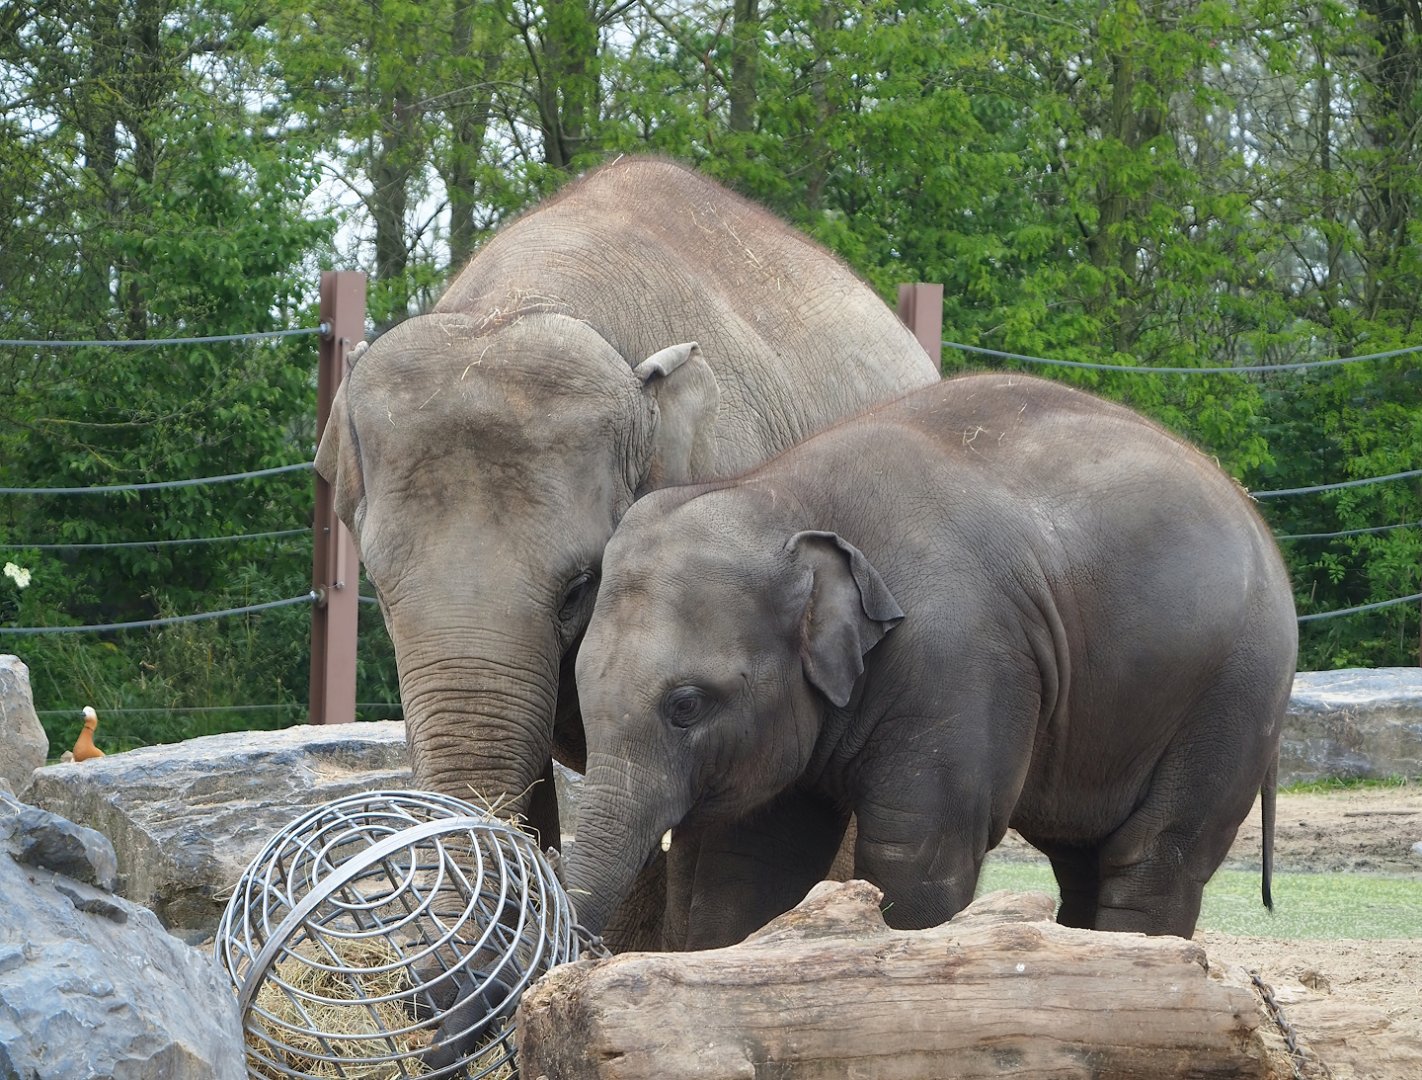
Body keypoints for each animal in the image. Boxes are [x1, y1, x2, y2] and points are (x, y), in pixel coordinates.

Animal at [563, 371, 1297, 947]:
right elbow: (751, 860)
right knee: (1083, 854)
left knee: (1157, 853)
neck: (783, 495)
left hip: (1234, 690)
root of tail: (1254, 514)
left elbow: (916, 852)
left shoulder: (959, 660)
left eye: (685, 706)